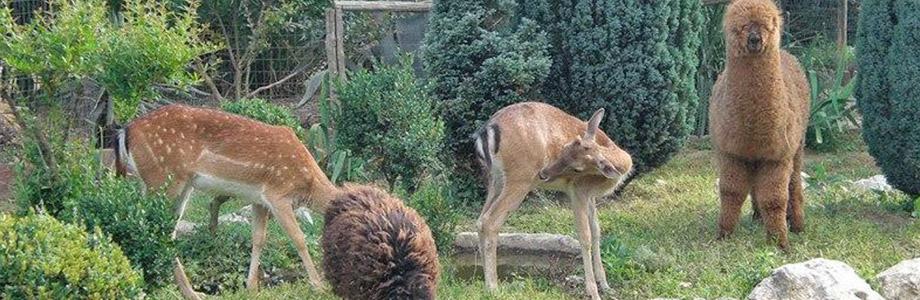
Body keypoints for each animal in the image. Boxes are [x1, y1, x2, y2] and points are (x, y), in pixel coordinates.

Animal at [108, 104, 338, 298]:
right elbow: (299, 239)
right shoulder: (278, 194)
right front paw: (318, 286)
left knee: (167, 230)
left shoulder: (259, 200)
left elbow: (259, 238)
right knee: (150, 226)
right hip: (162, 179)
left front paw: (251, 287)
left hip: (178, 185)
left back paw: (192, 292)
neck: (308, 184)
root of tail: (126, 131)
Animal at [474, 102, 632, 298]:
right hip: (520, 178)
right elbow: (585, 235)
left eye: (578, 168)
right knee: (490, 221)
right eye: (564, 148)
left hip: (496, 180)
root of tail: (487, 130)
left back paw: (484, 281)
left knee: (480, 220)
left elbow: (596, 230)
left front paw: (605, 284)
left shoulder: (589, 195)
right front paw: (593, 292)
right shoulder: (577, 189)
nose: (544, 173)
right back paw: (493, 287)